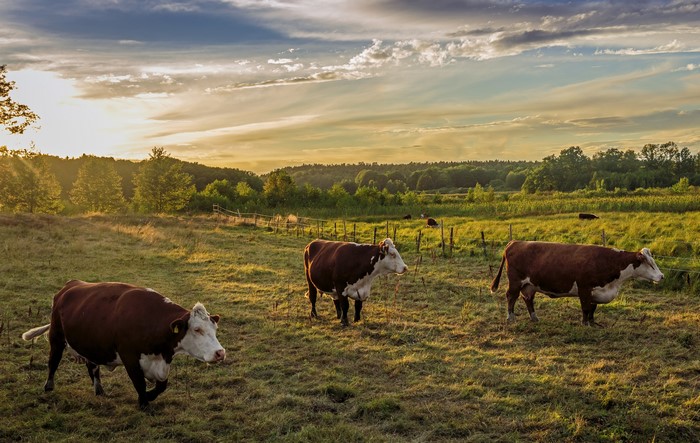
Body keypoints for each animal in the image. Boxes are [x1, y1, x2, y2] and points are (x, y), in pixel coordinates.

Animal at [21, 280, 226, 409]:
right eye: (197, 329)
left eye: (214, 328)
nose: (220, 353)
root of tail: (69, 286)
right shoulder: (130, 358)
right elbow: (139, 383)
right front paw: (144, 403)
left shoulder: (161, 362)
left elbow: (162, 386)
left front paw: (149, 396)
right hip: (56, 337)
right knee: (53, 362)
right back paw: (48, 387)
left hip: (91, 346)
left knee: (92, 368)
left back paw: (99, 390)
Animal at [490, 241, 664, 326]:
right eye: (649, 263)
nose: (661, 276)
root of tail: (515, 242)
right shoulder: (584, 288)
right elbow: (586, 308)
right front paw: (585, 323)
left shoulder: (596, 291)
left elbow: (593, 308)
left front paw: (593, 323)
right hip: (515, 282)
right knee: (511, 297)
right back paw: (511, 318)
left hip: (530, 285)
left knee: (528, 299)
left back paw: (534, 318)